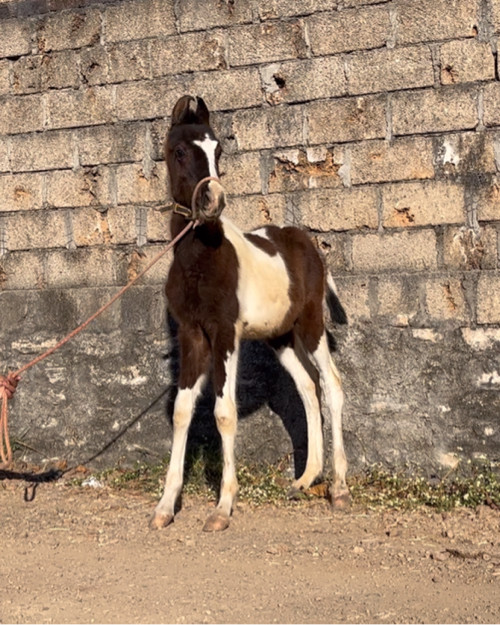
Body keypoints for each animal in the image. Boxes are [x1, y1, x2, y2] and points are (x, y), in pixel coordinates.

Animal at [150, 94, 350, 532]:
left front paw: (223, 508)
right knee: (308, 387)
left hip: (310, 325)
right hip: (281, 337)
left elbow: (225, 412)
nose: (213, 201)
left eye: (218, 151)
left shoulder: (225, 333)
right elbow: (182, 410)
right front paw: (165, 506)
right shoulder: (192, 333)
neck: (200, 260)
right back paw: (306, 479)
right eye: (179, 151)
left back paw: (339, 488)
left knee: (331, 385)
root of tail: (310, 245)